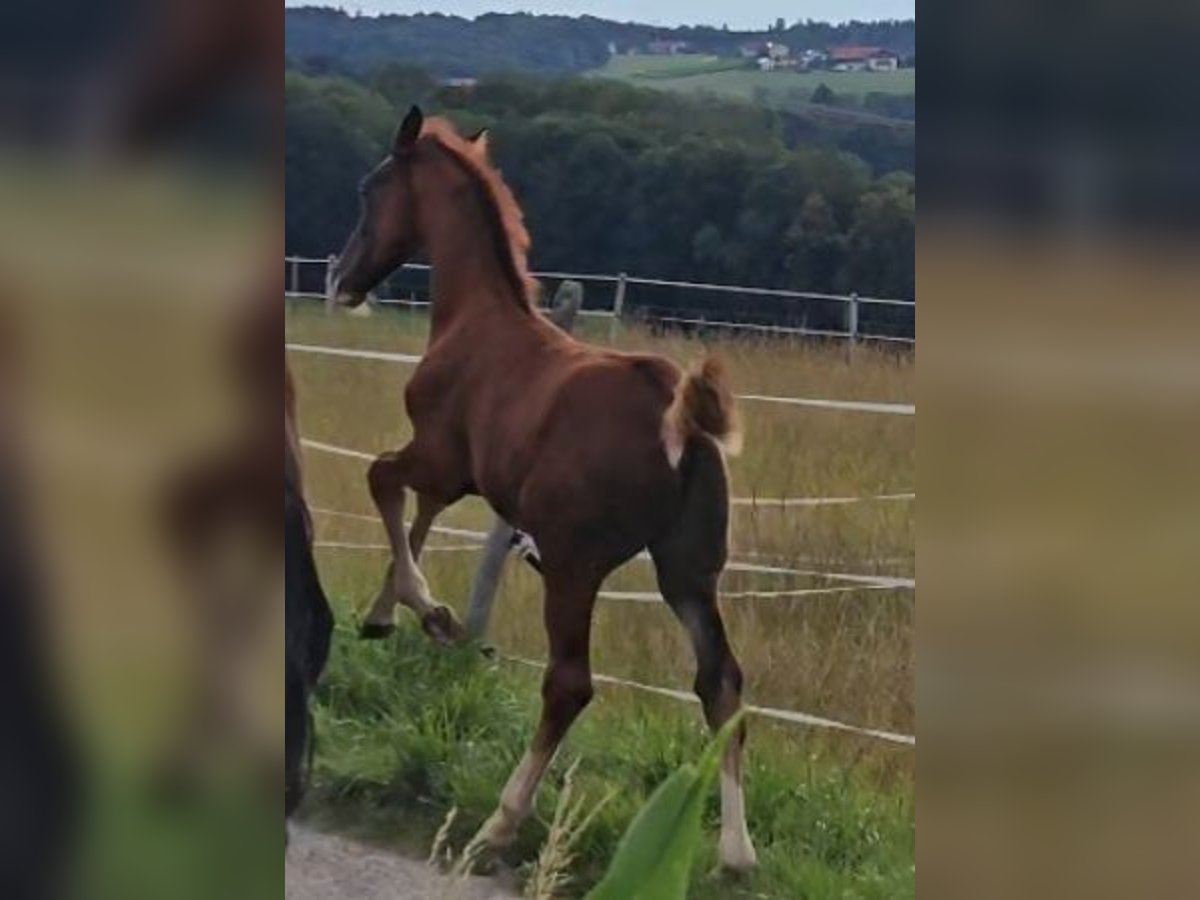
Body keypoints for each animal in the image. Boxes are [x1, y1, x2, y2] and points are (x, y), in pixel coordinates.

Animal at [326, 107, 758, 873]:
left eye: (368, 189)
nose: (342, 280)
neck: (475, 319)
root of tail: (683, 419)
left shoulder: (441, 459)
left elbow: (382, 479)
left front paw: (430, 614)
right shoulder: (456, 476)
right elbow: (413, 513)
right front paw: (387, 615)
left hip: (574, 564)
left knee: (569, 683)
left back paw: (498, 825)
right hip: (688, 572)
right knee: (722, 685)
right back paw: (735, 855)